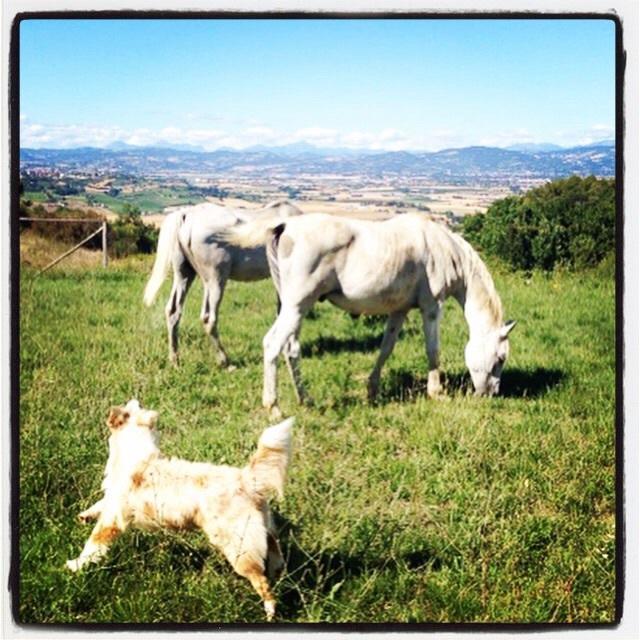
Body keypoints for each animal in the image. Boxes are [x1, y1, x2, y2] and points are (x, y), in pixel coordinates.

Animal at [66, 400, 294, 620]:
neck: (137, 453)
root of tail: (246, 478)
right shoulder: (112, 501)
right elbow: (100, 503)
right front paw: (84, 515)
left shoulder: (113, 519)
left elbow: (92, 545)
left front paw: (75, 565)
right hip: (261, 528)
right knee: (275, 549)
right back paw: (278, 575)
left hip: (239, 546)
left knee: (260, 579)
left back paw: (270, 610)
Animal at [143, 200, 302, 364]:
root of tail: (186, 215)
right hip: (216, 279)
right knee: (209, 319)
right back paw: (225, 361)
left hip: (185, 275)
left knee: (173, 312)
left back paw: (174, 358)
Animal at [228, 214, 516, 416]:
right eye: (500, 358)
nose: (491, 393)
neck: (444, 249)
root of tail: (286, 226)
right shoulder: (432, 308)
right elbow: (433, 351)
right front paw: (436, 392)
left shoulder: (399, 310)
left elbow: (386, 348)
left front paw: (372, 391)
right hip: (297, 306)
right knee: (272, 344)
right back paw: (274, 406)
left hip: (293, 309)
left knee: (291, 349)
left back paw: (305, 399)